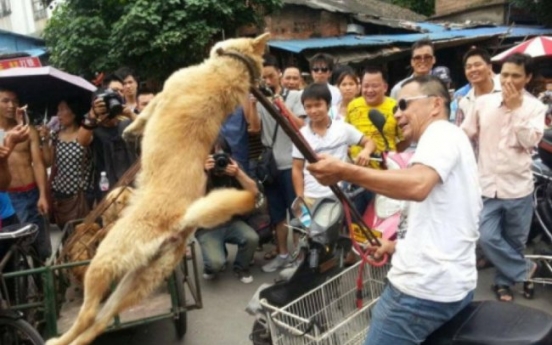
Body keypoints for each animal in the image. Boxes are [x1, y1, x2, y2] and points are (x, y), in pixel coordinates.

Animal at [46, 33, 270, 344]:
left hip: (105, 261)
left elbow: (139, 115)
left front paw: (129, 129)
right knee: (101, 320)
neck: (227, 72)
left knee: (90, 314)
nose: (266, 87)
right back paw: (66, 340)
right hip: (137, 282)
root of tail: (181, 221)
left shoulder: (160, 96)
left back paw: (58, 338)